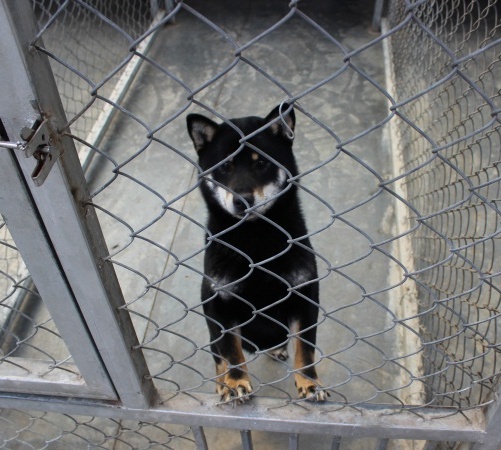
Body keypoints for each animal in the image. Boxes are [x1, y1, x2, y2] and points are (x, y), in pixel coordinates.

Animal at [187, 103, 324, 402]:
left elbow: (305, 348)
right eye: (225, 166)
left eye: (261, 163)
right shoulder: (221, 304)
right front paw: (236, 382)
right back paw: (222, 382)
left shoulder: (305, 294)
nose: (241, 200)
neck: (255, 239)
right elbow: (232, 352)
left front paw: (310, 383)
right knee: (218, 358)